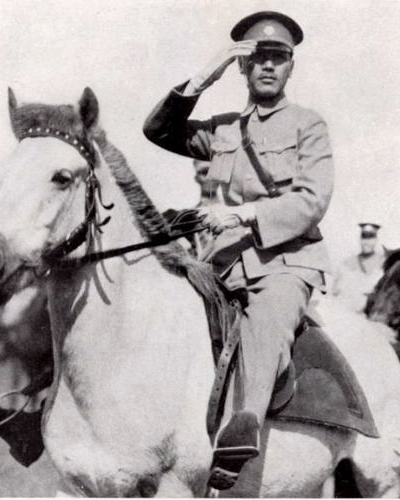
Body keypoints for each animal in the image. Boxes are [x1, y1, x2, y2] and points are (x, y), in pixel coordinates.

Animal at [0, 87, 398, 496]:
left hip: (381, 482)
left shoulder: (173, 485)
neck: (124, 351)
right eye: (5, 172)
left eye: (62, 177)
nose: (1, 260)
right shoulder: (73, 486)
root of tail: (381, 337)